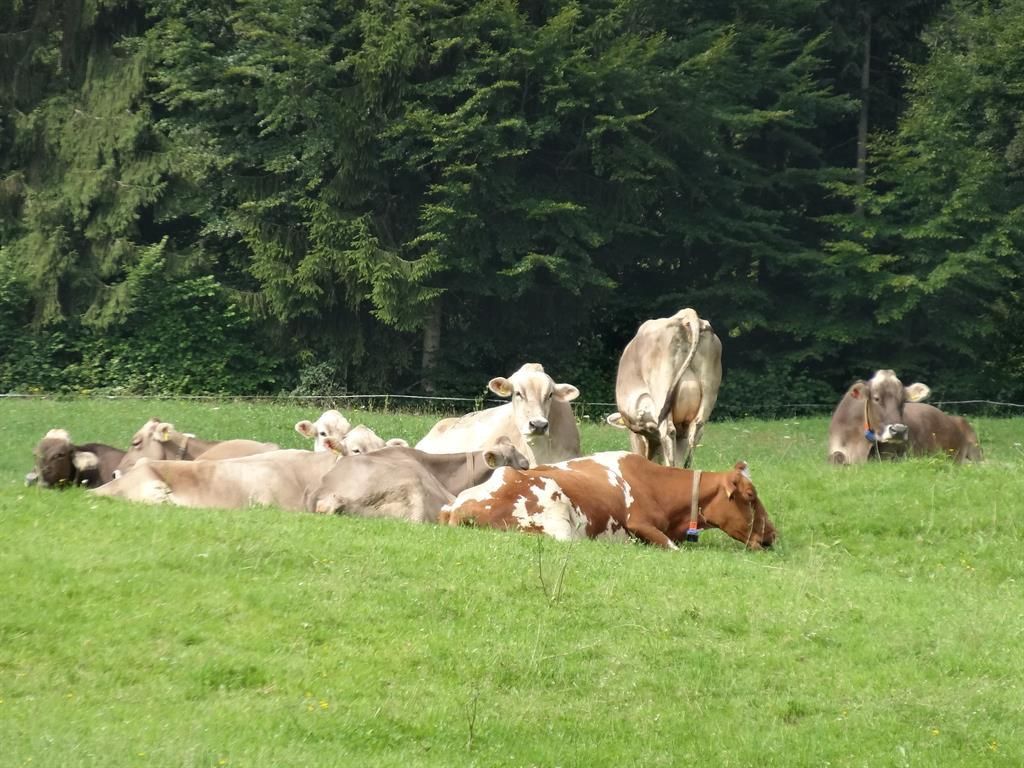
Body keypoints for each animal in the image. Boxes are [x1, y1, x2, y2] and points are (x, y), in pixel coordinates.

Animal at [439, 452, 776, 550]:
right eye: (750, 496)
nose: (773, 534)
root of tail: (459, 508)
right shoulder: (640, 524)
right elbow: (673, 548)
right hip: (559, 522)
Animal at [607, 308, 723, 469]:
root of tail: (685, 315)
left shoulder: (639, 433)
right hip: (708, 394)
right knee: (695, 431)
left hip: (661, 393)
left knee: (668, 432)